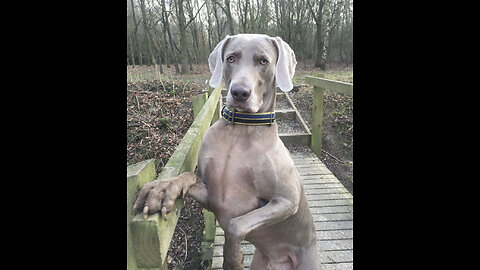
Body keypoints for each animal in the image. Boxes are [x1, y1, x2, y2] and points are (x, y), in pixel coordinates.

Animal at [132, 34, 318, 270]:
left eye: (263, 61)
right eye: (231, 58)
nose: (239, 92)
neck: (240, 131)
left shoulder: (287, 200)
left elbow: (235, 224)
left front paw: (233, 260)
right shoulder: (212, 197)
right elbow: (188, 175)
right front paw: (162, 189)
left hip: (307, 258)